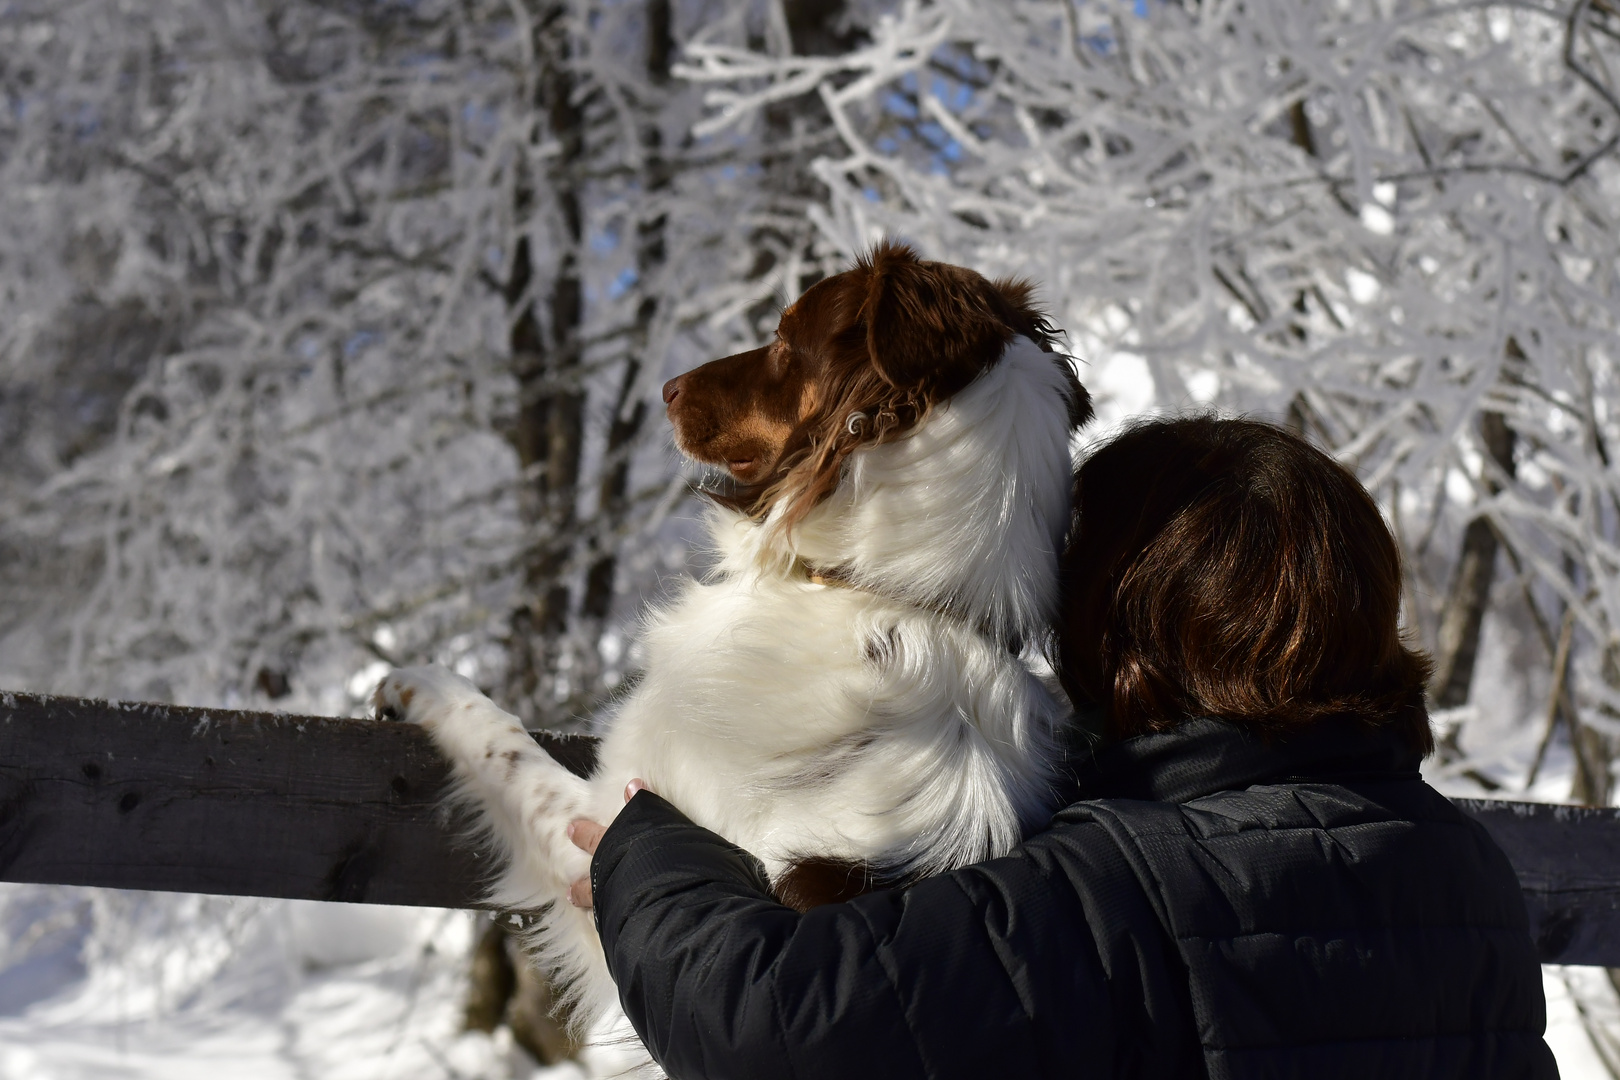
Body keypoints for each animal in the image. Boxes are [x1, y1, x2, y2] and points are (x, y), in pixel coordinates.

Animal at [372, 241, 1095, 1062]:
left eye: (783, 338)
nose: (666, 388)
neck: (880, 595)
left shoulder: (601, 835)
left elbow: (503, 739)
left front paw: (417, 680)